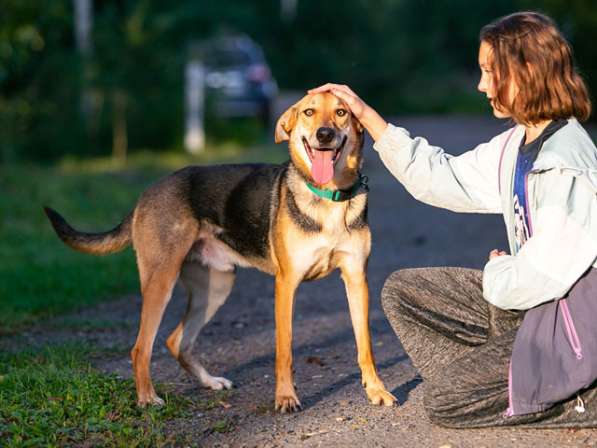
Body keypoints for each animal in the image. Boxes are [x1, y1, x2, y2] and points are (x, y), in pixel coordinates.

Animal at [45, 91, 396, 412]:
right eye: (309, 111)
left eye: (341, 112)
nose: (324, 135)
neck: (329, 197)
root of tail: (147, 193)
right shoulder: (286, 285)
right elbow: (284, 350)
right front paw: (286, 398)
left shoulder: (356, 280)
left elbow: (365, 345)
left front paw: (376, 390)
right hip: (161, 281)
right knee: (141, 348)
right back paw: (147, 398)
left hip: (216, 287)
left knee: (176, 341)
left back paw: (210, 382)